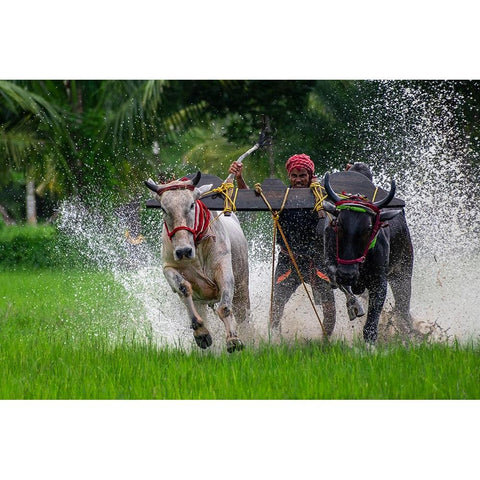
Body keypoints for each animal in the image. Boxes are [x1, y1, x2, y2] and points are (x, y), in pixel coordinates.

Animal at [145, 172, 251, 352]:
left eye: (192, 205)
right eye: (164, 209)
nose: (183, 251)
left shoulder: (224, 269)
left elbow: (224, 308)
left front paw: (233, 340)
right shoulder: (168, 267)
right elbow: (183, 288)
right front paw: (200, 332)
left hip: (242, 289)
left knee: (243, 314)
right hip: (202, 301)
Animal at [320, 172, 414, 342]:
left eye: (368, 228)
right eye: (339, 224)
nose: (348, 274)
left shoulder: (379, 282)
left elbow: (371, 325)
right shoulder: (333, 269)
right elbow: (344, 287)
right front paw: (353, 306)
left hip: (403, 272)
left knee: (403, 307)